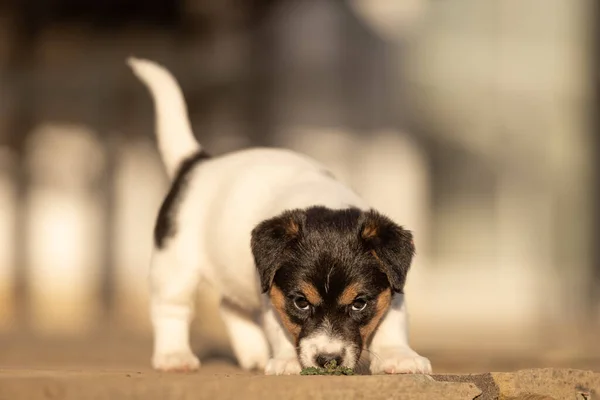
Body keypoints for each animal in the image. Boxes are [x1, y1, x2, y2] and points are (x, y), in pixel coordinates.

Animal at [126, 57, 432, 376]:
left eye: (359, 303)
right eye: (301, 302)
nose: (328, 360)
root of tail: (197, 164)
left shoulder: (392, 289)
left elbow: (393, 324)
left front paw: (400, 356)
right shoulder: (273, 297)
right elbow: (279, 328)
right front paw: (286, 360)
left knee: (230, 306)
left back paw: (253, 355)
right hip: (174, 266)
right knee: (171, 309)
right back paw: (174, 355)